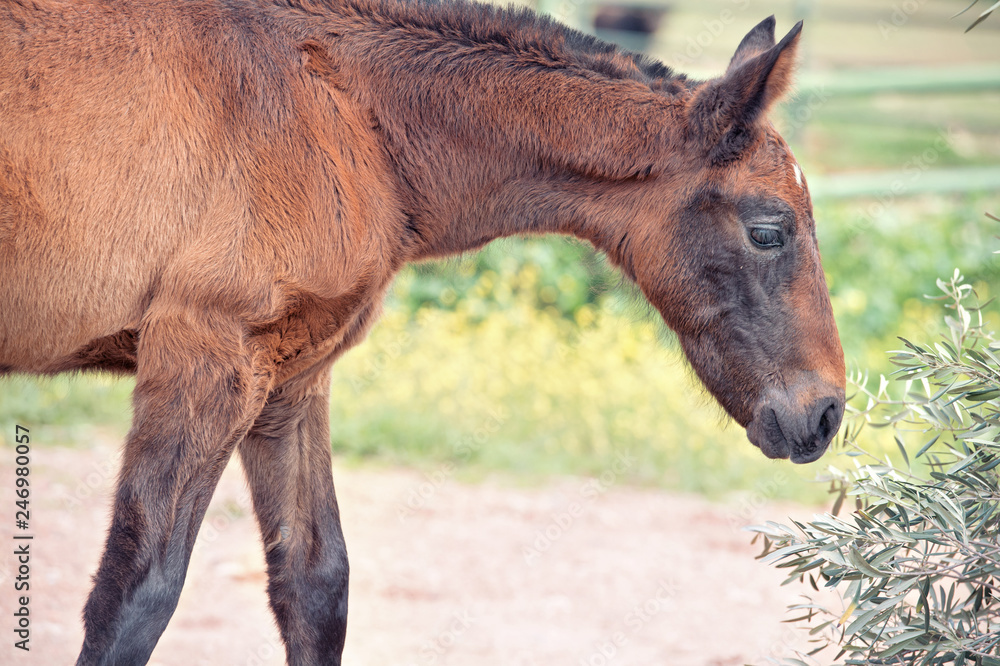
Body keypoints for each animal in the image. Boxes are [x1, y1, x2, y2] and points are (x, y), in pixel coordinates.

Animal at [0, 0, 845, 663]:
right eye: (769, 230)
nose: (826, 413)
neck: (341, 112)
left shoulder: (290, 379)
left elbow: (316, 584)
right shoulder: (206, 360)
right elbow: (136, 595)